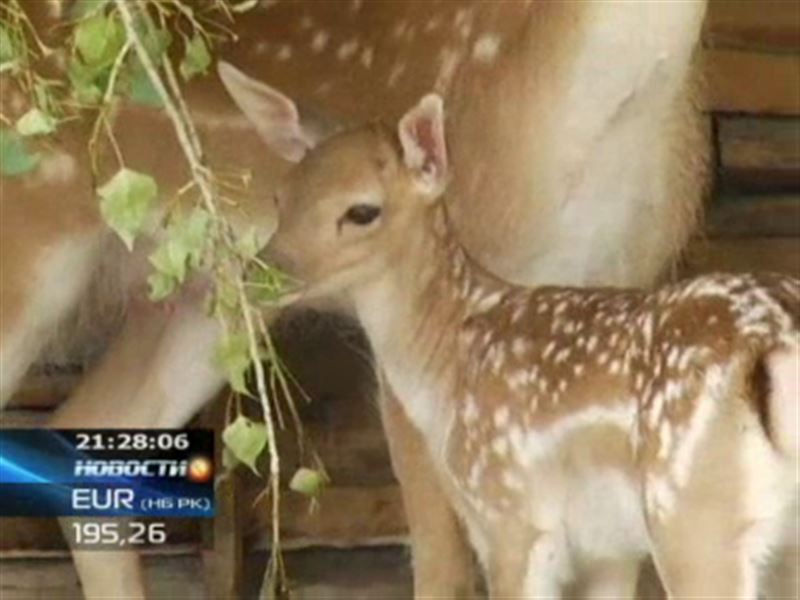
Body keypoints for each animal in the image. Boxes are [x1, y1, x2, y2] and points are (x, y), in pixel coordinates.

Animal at [264, 91, 800, 600]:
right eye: (280, 198)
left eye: (362, 210)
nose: (265, 269)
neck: (444, 367)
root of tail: (772, 339)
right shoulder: (607, 548)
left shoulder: (510, 518)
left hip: (693, 516)